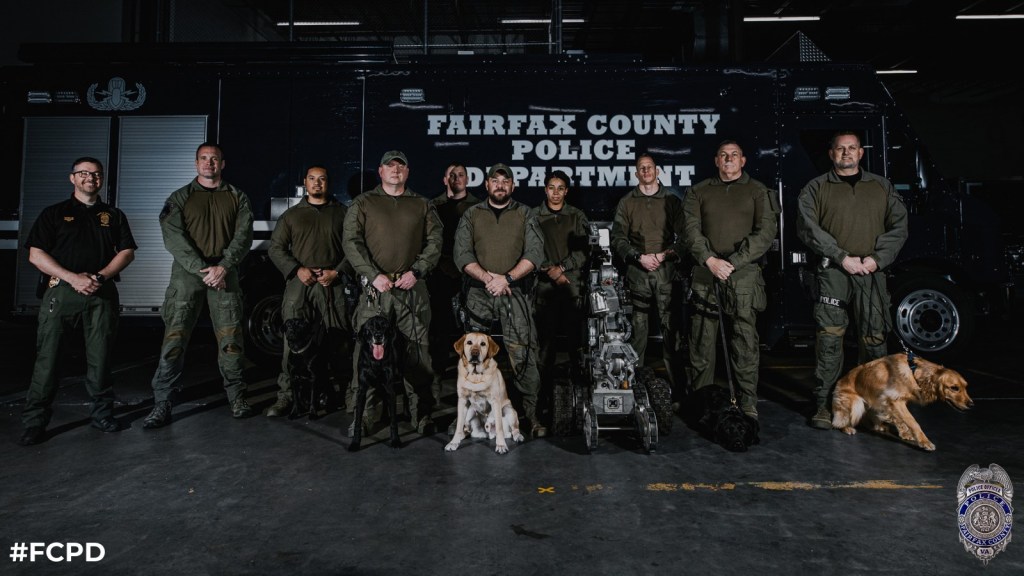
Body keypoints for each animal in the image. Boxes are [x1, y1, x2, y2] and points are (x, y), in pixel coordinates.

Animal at [349, 315, 403, 451]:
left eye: (384, 326)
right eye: (370, 327)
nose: (378, 335)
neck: (376, 361)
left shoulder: (390, 388)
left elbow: (394, 420)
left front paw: (395, 440)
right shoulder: (362, 391)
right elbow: (358, 420)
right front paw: (355, 443)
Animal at [831, 353, 974, 451]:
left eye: (966, 387)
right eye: (954, 388)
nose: (971, 404)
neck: (914, 370)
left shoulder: (896, 401)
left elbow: (900, 419)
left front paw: (905, 434)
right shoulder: (894, 400)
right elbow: (913, 422)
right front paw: (924, 442)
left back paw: (878, 425)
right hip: (856, 403)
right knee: (837, 422)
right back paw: (847, 427)